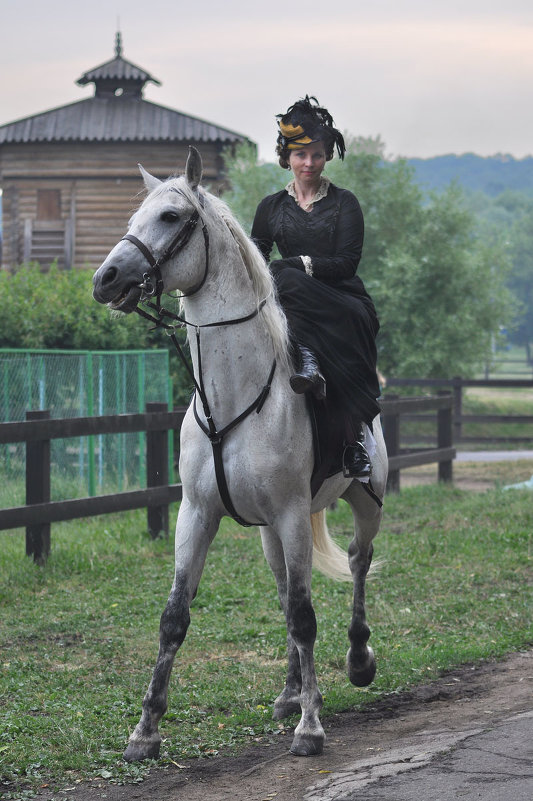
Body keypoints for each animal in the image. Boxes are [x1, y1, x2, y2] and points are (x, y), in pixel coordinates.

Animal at [92, 147, 386, 760]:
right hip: (271, 533)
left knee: (356, 564)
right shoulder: (197, 514)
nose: (105, 279)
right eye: (136, 216)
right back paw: (290, 693)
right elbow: (175, 616)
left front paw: (311, 729)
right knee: (285, 590)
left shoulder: (294, 514)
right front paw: (145, 731)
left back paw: (357, 661)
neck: (236, 395)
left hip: (366, 502)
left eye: (171, 218)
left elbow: (305, 617)